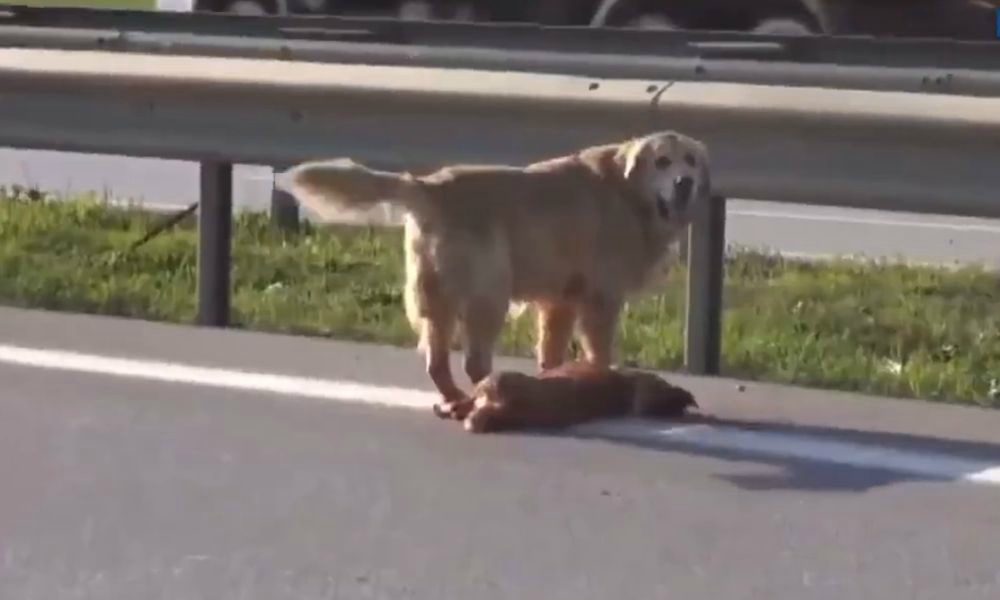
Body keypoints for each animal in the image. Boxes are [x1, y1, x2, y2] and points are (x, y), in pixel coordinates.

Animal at [274, 131, 712, 408]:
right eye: (662, 162)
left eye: (690, 161)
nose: (684, 182)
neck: (627, 192)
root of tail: (430, 185)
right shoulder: (600, 299)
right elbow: (599, 351)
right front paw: (602, 382)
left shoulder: (560, 301)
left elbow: (552, 352)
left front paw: (558, 382)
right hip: (489, 292)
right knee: (473, 360)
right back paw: (484, 394)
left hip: (435, 296)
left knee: (436, 360)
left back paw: (457, 399)